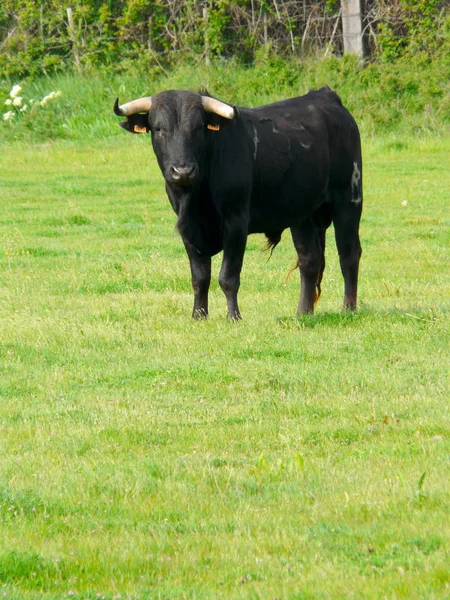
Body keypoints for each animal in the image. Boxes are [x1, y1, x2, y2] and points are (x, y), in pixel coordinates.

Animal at [113, 87, 362, 322]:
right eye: (158, 129)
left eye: (198, 128)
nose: (182, 171)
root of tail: (328, 98)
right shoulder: (188, 230)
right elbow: (200, 278)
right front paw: (198, 315)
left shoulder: (236, 224)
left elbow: (228, 277)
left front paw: (233, 316)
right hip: (304, 216)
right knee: (309, 260)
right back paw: (303, 313)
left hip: (349, 202)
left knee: (349, 254)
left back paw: (348, 308)